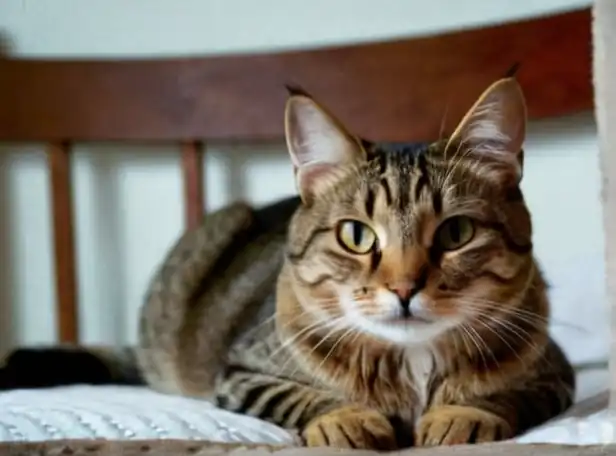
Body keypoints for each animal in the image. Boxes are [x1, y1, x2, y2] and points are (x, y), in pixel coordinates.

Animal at [1, 75, 576, 448]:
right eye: (356, 235)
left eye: (456, 233)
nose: (404, 288)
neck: (411, 361)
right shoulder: (239, 371)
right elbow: (294, 396)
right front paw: (345, 418)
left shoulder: (554, 371)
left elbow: (509, 395)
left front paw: (461, 413)